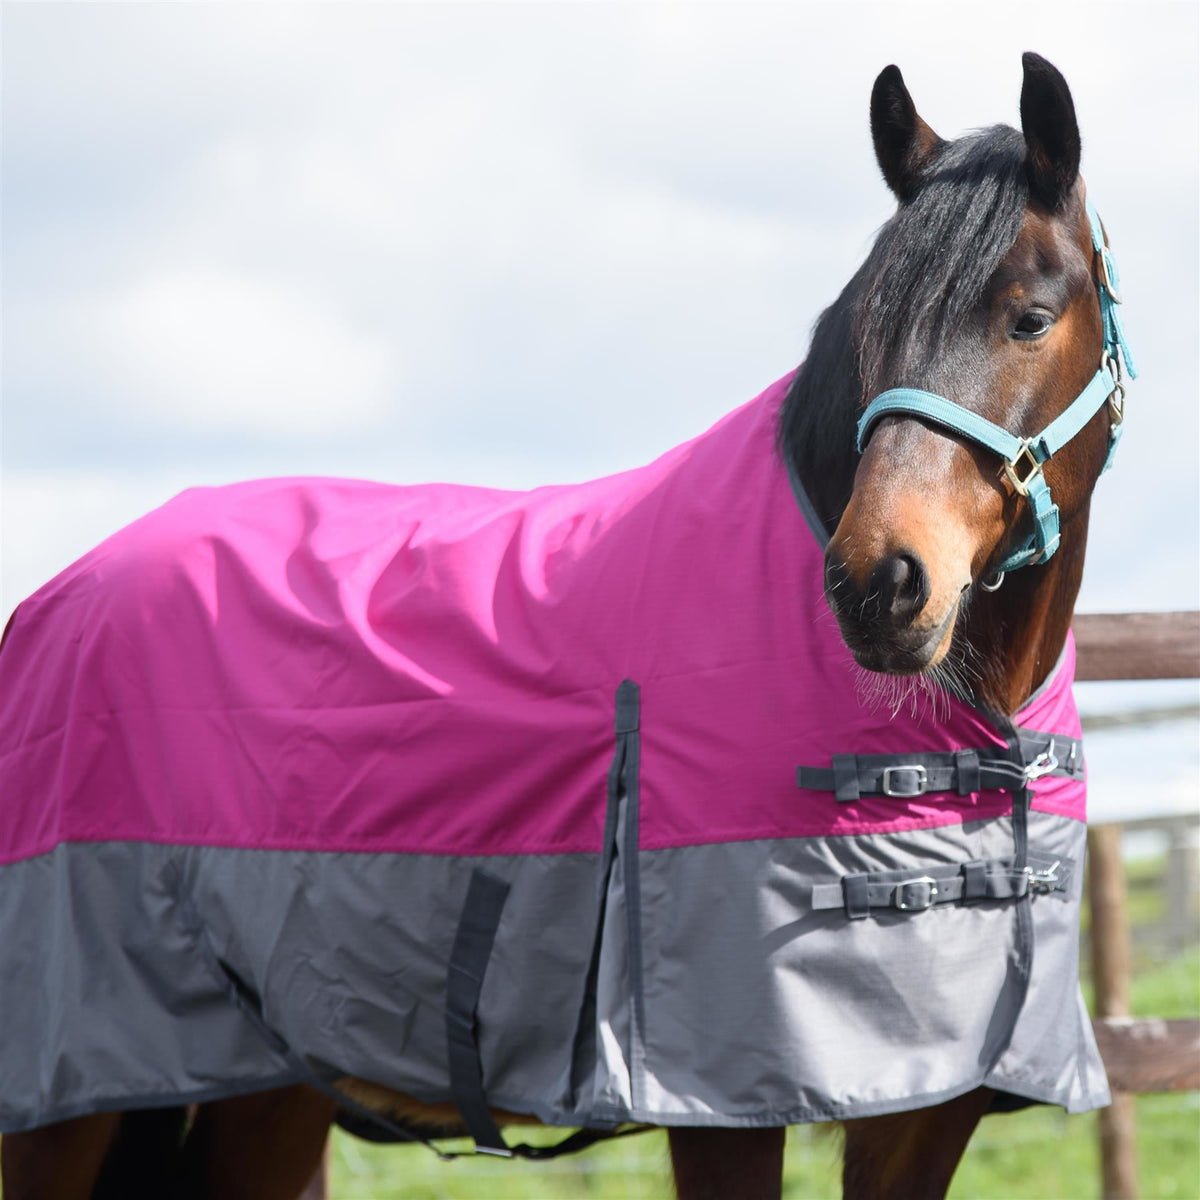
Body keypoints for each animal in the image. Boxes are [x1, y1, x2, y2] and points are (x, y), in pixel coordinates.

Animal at [0, 51, 1131, 1200]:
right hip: (70, 1097)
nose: (877, 583)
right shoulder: (724, 1106)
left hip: (262, 1088)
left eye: (1031, 316)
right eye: (873, 328)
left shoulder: (928, 1110)